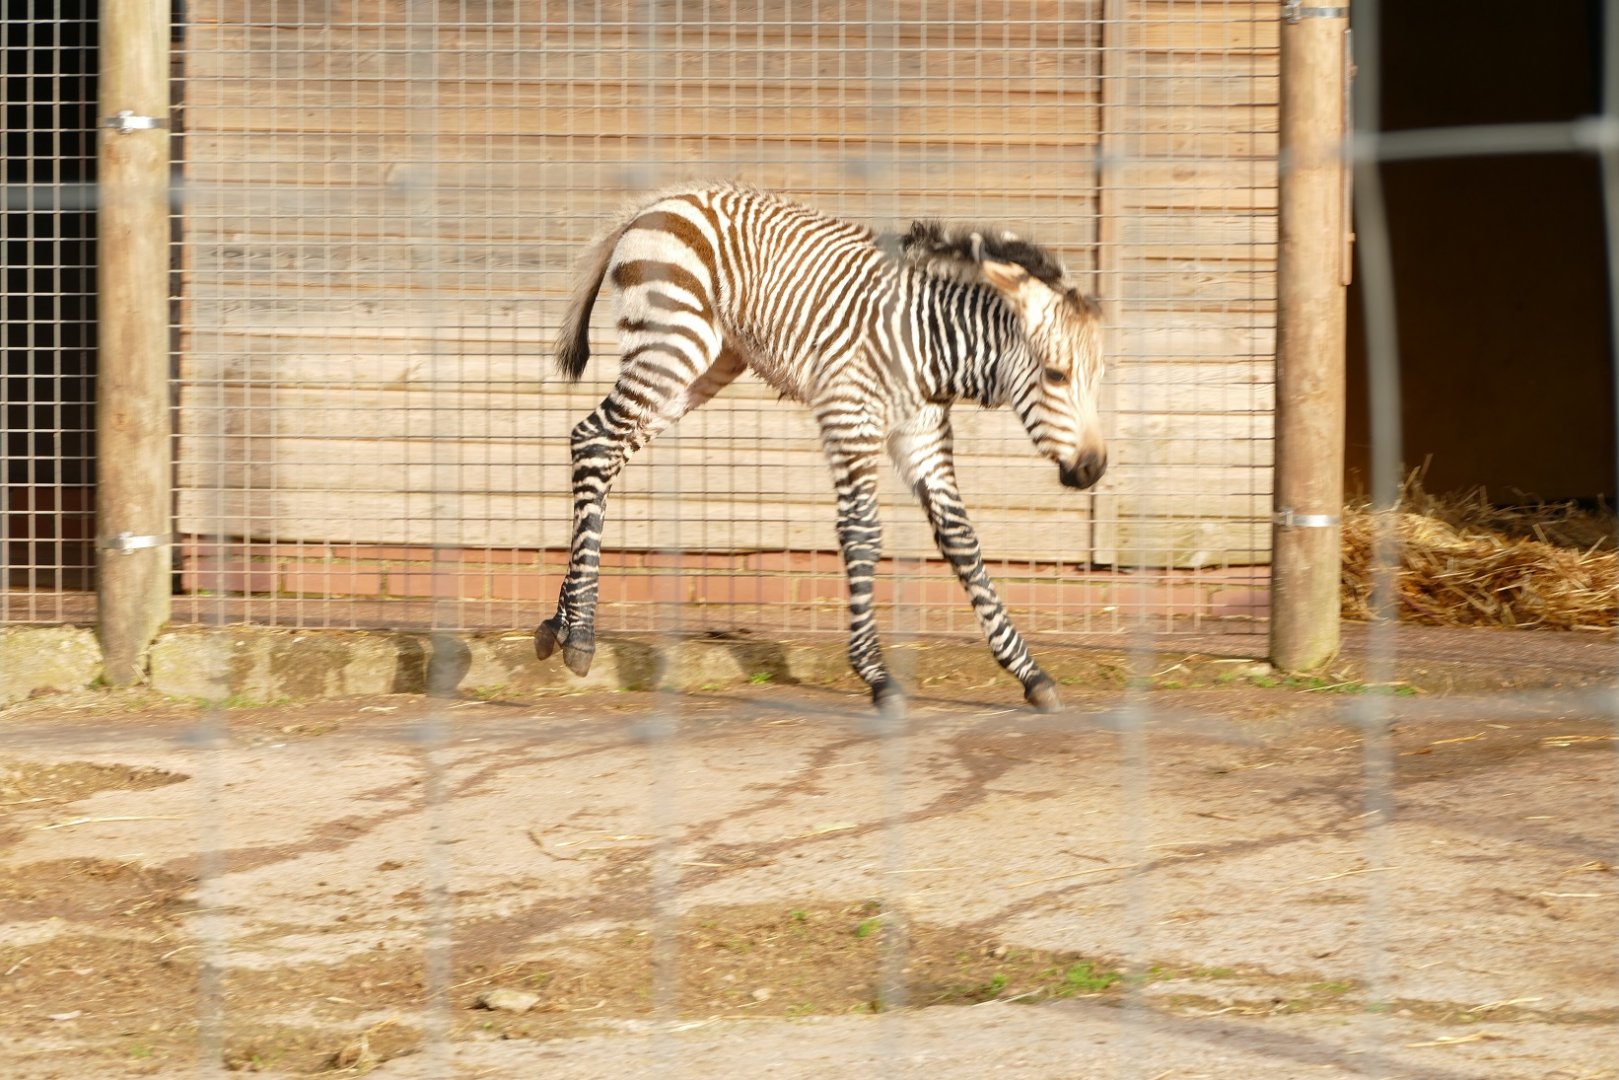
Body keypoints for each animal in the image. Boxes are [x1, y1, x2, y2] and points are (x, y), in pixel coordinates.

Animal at [536, 185, 1106, 713]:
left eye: (1097, 377)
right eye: (1056, 375)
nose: (1093, 469)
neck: (931, 339)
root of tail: (661, 201)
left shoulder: (920, 435)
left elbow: (962, 541)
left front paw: (1028, 671)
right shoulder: (850, 417)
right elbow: (862, 534)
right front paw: (876, 674)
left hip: (699, 369)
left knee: (602, 448)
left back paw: (558, 624)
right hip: (670, 347)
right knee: (593, 441)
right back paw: (580, 635)